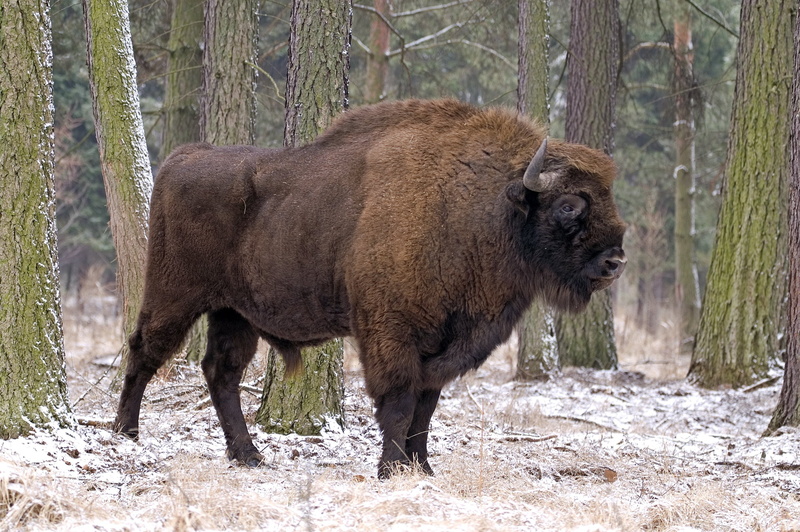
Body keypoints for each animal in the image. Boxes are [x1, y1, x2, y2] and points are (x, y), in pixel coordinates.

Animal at [114, 99, 626, 479]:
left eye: (608, 197)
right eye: (568, 204)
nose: (615, 260)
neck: (481, 205)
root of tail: (182, 157)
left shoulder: (442, 346)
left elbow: (426, 408)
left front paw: (422, 469)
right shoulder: (391, 333)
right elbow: (398, 403)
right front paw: (390, 469)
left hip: (234, 313)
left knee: (221, 372)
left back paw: (248, 455)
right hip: (174, 295)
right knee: (144, 350)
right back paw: (126, 433)